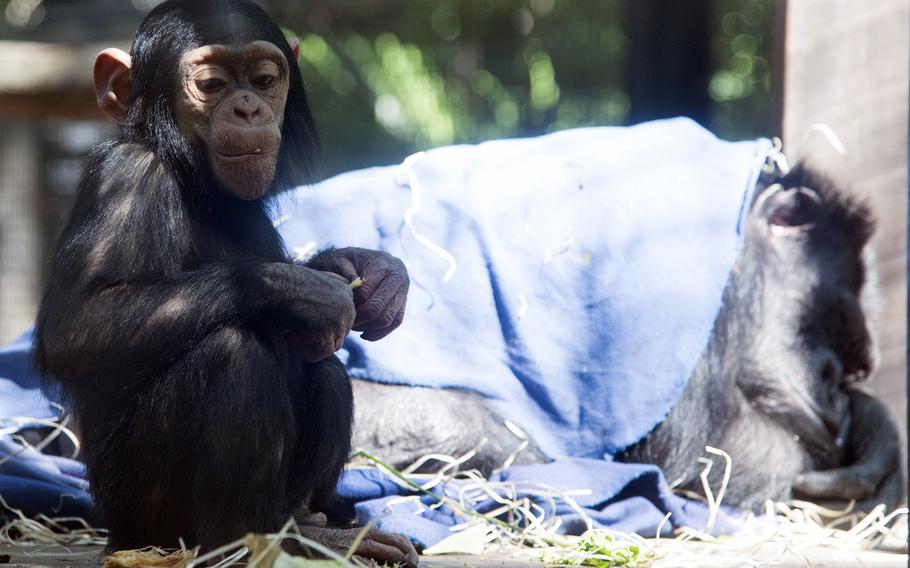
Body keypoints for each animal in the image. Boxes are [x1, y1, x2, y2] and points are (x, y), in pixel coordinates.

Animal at [34, 1, 416, 564]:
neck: (193, 179)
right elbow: (77, 325)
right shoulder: (126, 178)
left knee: (325, 371)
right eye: (211, 85)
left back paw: (311, 521)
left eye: (264, 80)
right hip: (146, 518)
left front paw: (368, 272)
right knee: (235, 355)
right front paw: (313, 293)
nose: (247, 109)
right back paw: (271, 538)